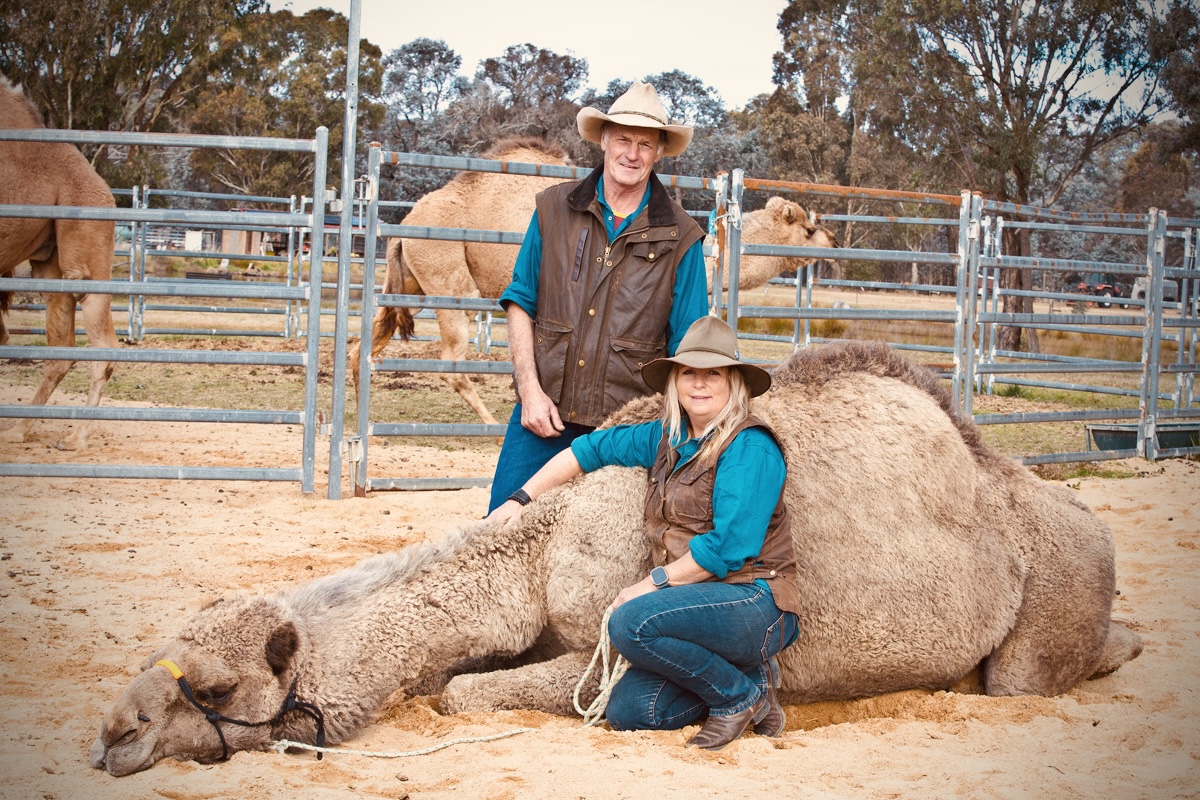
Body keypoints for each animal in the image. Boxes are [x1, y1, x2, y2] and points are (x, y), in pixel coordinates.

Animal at [91, 340, 1142, 777]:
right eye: (159, 658)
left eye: (217, 691)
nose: (111, 733)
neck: (538, 557)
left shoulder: (603, 653)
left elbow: (457, 693)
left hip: (1048, 604)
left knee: (1031, 673)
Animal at [350, 141, 837, 426]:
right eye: (809, 229)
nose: (833, 241)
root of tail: (405, 224)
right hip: (448, 275)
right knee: (451, 357)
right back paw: (489, 424)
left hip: (411, 280)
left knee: (368, 338)